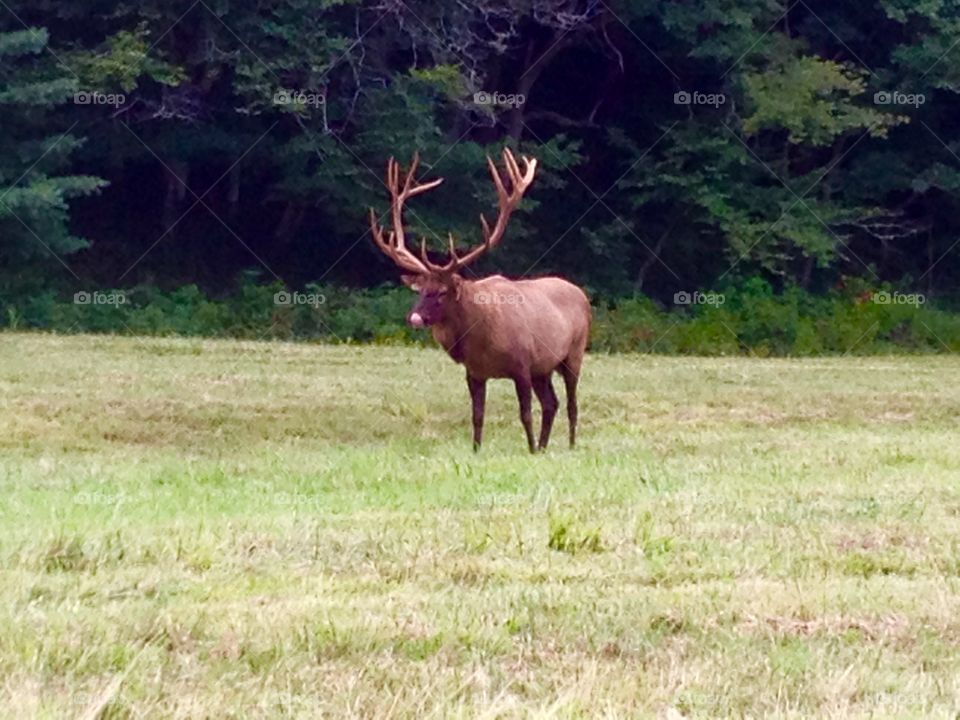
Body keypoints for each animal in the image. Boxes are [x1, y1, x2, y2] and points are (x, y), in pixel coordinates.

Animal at [369, 148, 591, 453]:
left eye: (442, 291)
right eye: (420, 289)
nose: (414, 317)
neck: (481, 338)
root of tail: (581, 294)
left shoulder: (522, 364)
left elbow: (524, 414)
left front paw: (530, 450)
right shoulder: (475, 372)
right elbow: (477, 414)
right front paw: (476, 450)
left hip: (573, 353)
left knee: (570, 404)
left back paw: (567, 445)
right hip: (543, 368)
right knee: (551, 404)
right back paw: (545, 446)